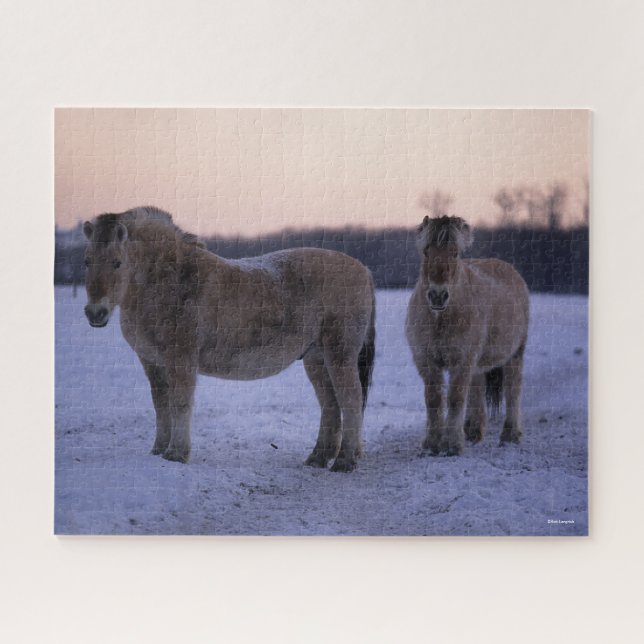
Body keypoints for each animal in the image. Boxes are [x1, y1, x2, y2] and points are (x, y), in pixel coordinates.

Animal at [82, 206, 376, 472]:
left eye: (117, 262)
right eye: (87, 261)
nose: (95, 313)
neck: (170, 279)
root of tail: (363, 270)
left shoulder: (180, 359)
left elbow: (179, 403)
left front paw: (176, 454)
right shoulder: (152, 363)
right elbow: (161, 405)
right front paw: (158, 451)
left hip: (339, 354)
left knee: (350, 400)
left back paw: (344, 462)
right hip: (316, 359)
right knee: (330, 405)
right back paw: (318, 458)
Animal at [405, 215, 529, 456]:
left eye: (455, 253)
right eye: (426, 251)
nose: (437, 295)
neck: (441, 319)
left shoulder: (461, 361)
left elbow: (455, 398)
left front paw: (452, 444)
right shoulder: (426, 360)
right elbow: (434, 399)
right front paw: (432, 443)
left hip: (514, 355)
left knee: (513, 389)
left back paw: (510, 434)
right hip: (478, 362)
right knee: (477, 387)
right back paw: (472, 431)